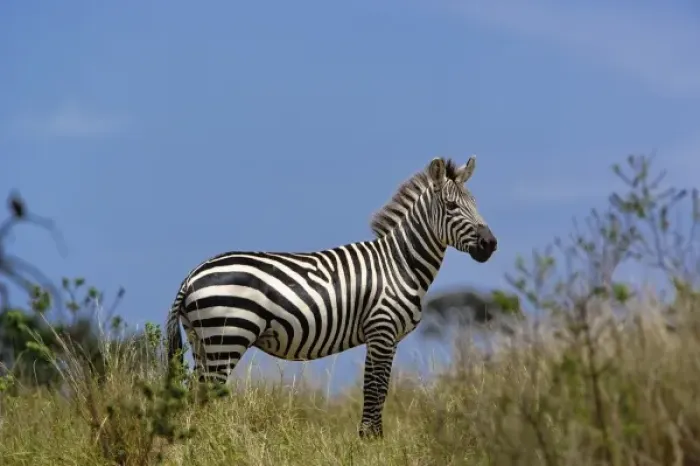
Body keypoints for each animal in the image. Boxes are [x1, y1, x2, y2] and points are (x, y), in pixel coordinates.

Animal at [166, 156, 497, 438]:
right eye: (451, 206)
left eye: (475, 204)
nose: (490, 244)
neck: (399, 263)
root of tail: (192, 274)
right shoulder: (381, 330)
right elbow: (375, 388)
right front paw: (370, 441)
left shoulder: (387, 338)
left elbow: (380, 388)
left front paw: (371, 439)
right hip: (228, 336)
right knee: (206, 393)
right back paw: (212, 440)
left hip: (202, 340)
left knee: (195, 394)